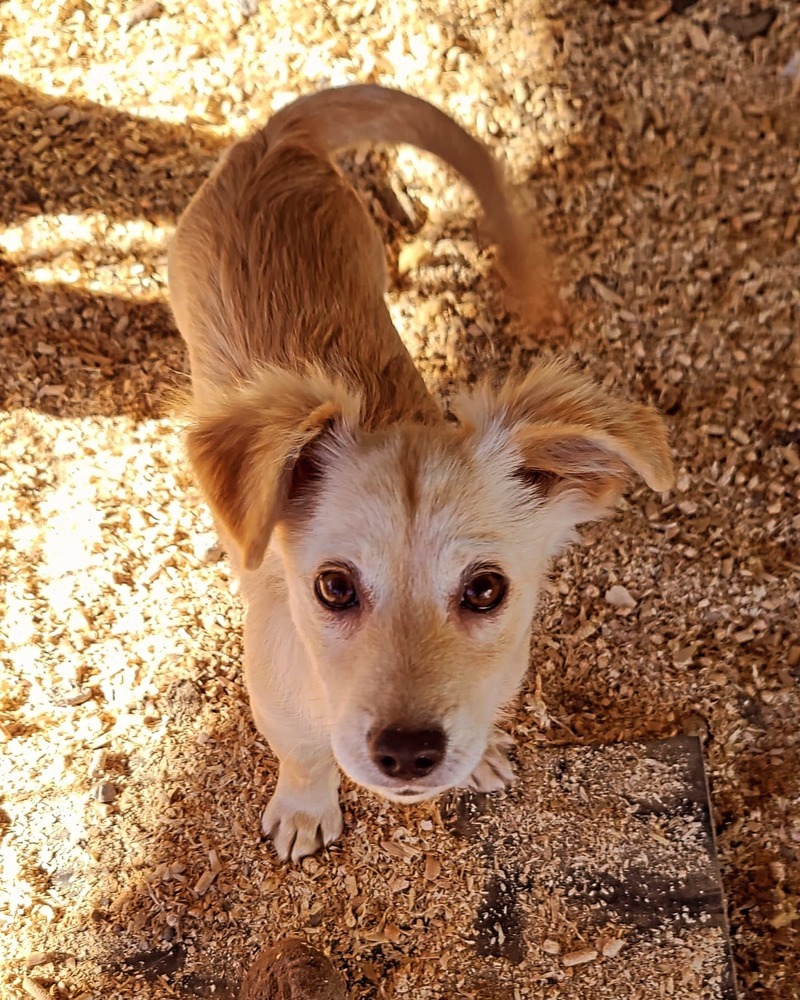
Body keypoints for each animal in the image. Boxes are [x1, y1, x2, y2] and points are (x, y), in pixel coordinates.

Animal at [170, 84, 676, 860]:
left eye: (486, 589)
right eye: (334, 587)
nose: (408, 754)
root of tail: (274, 139)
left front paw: (482, 757)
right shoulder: (275, 693)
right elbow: (304, 754)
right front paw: (304, 810)